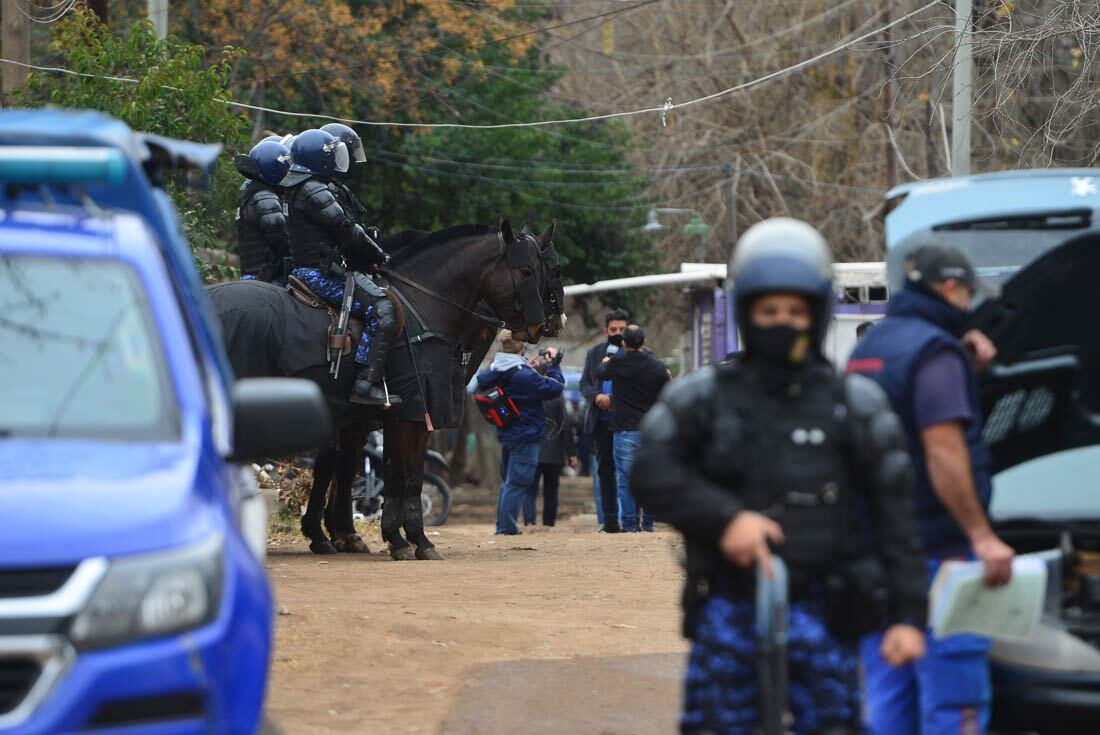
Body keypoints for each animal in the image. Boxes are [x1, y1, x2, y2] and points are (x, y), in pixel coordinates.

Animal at [207, 221, 567, 558]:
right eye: (527, 271)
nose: (546, 323)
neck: (424, 308)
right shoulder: (411, 412)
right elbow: (404, 474)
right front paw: (410, 539)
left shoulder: (378, 419)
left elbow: (365, 469)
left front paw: (354, 534)